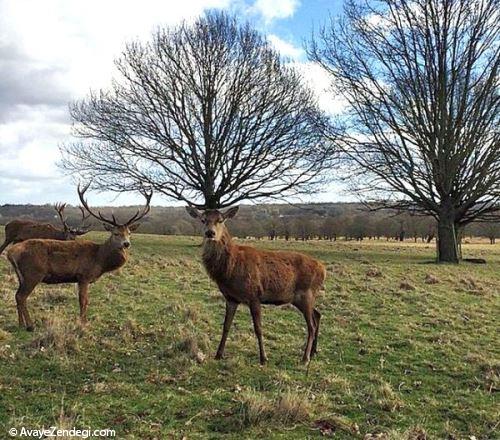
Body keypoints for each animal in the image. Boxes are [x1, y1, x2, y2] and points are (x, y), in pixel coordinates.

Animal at [6, 184, 150, 332]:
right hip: (33, 273)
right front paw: (83, 324)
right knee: (21, 296)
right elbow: (83, 301)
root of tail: (11, 252)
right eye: (115, 233)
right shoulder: (83, 276)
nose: (126, 244)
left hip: (22, 276)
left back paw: (20, 324)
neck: (100, 260)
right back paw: (30, 325)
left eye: (129, 233)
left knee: (17, 295)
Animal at [186, 206, 326, 364]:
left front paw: (263, 358)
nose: (210, 233)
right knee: (318, 315)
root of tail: (323, 270)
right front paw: (218, 354)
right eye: (203, 220)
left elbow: (258, 328)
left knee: (311, 325)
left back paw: (305, 358)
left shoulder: (254, 295)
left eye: (220, 220)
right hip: (303, 298)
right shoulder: (231, 298)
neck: (230, 268)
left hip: (306, 294)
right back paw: (313, 352)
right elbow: (226, 326)